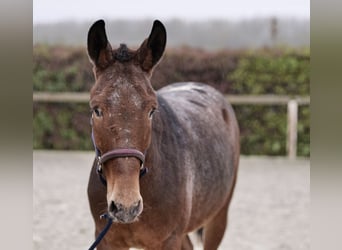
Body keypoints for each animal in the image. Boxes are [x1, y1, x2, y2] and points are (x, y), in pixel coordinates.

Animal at [87, 18, 239, 249]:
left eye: (151, 110)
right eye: (96, 109)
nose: (126, 205)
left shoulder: (169, 240)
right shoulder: (107, 241)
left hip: (218, 217)